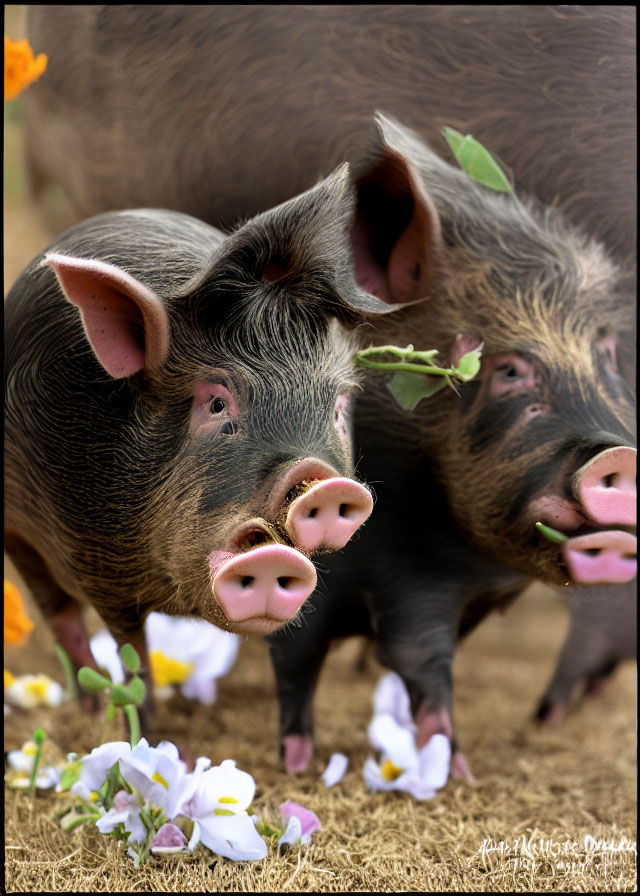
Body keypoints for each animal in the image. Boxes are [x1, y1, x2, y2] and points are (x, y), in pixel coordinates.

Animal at [5, 166, 396, 728]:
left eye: (340, 408)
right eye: (215, 404)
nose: (322, 479)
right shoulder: (99, 570)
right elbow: (131, 653)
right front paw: (150, 736)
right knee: (60, 616)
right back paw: (88, 710)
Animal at [264, 117, 636, 776]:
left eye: (608, 357)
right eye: (510, 371)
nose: (616, 453)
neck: (472, 564)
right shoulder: (404, 569)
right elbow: (422, 662)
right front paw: (456, 771)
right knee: (294, 663)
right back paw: (299, 762)